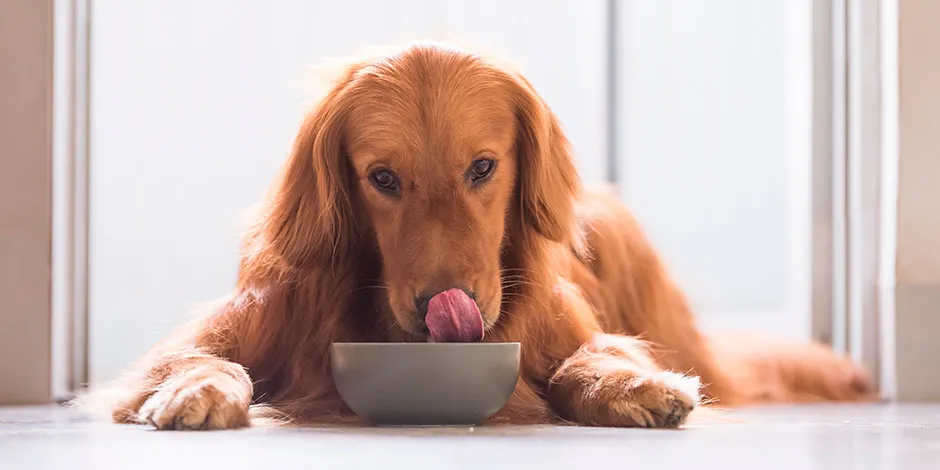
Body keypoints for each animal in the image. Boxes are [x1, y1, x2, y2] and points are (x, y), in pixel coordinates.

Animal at [90, 43, 872, 430]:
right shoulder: (235, 324)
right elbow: (198, 359)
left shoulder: (567, 329)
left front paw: (630, 384)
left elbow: (587, 358)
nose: (446, 305)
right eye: (382, 178)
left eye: (483, 167)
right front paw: (197, 389)